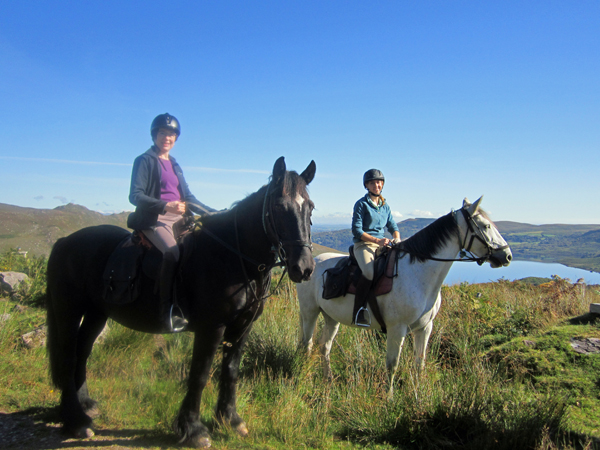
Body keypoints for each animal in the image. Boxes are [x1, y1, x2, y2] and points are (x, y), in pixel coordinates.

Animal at [46, 157, 316, 446]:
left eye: (310, 207)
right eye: (278, 207)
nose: (304, 268)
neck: (232, 256)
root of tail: (64, 242)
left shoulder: (243, 327)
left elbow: (231, 370)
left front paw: (230, 420)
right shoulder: (212, 328)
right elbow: (199, 374)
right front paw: (193, 429)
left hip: (97, 312)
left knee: (82, 352)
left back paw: (85, 404)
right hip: (69, 311)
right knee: (68, 357)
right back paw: (76, 421)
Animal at [296, 197, 510, 398]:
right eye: (486, 226)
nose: (507, 255)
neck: (418, 274)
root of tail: (312, 263)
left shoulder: (425, 327)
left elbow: (419, 362)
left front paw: (418, 393)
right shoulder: (397, 328)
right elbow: (392, 364)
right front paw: (389, 397)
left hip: (331, 318)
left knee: (324, 346)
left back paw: (328, 380)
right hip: (309, 312)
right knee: (307, 345)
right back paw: (304, 378)